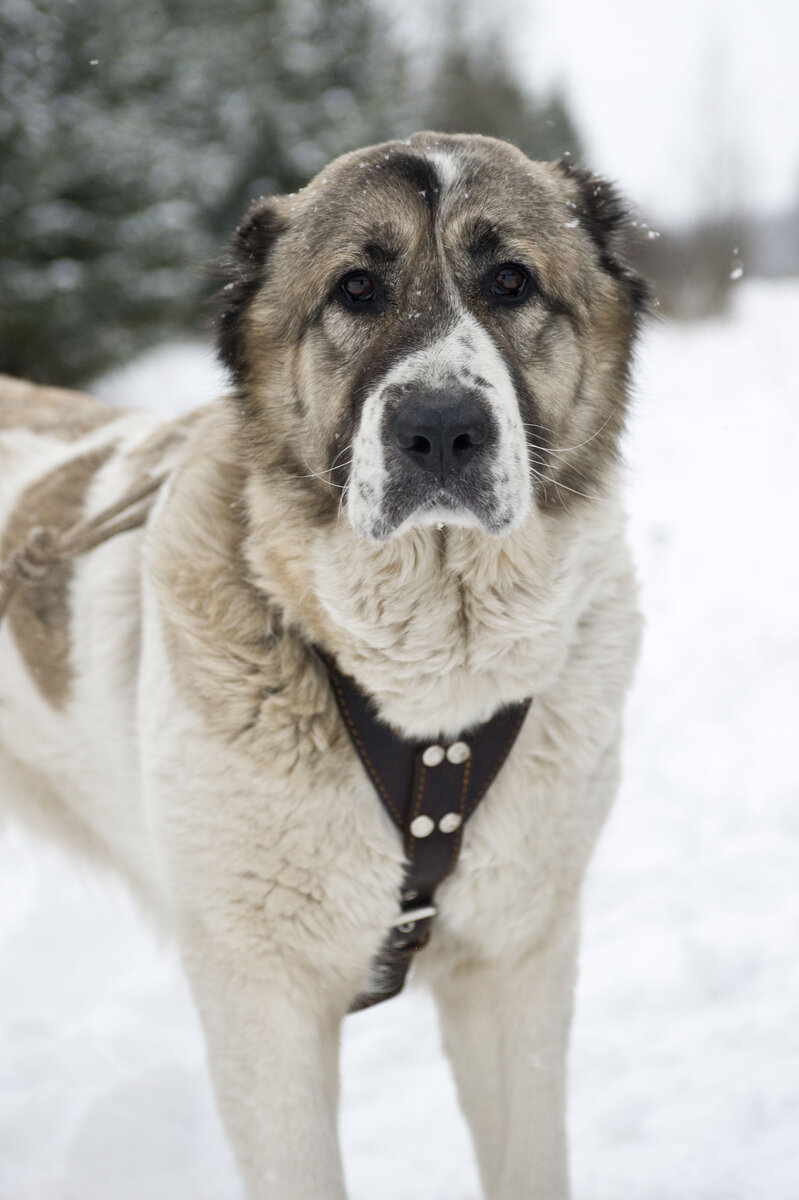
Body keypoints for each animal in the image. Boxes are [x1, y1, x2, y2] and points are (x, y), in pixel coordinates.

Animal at [0, 133, 643, 1200]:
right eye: (355, 289)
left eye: (510, 281)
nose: (440, 429)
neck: (427, 701)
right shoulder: (264, 1003)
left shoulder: (514, 968)